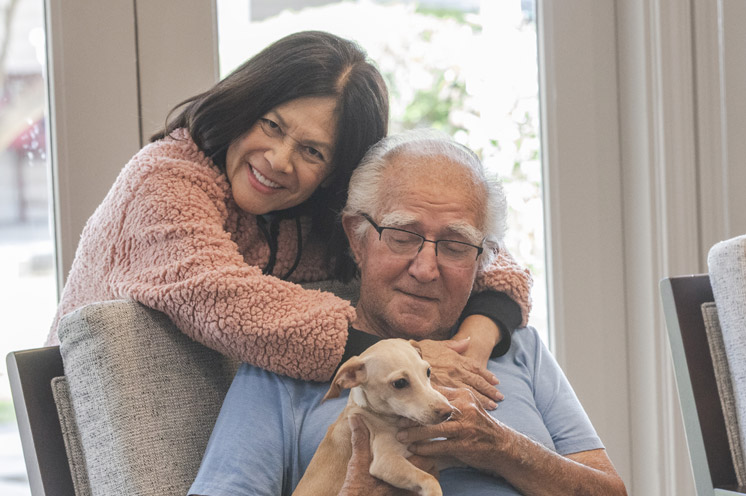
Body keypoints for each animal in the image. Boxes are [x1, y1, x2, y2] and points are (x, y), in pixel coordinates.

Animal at [292, 338, 454, 496]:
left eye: (428, 371)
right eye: (400, 382)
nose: (448, 412)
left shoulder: (430, 457)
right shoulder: (384, 461)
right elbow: (429, 479)